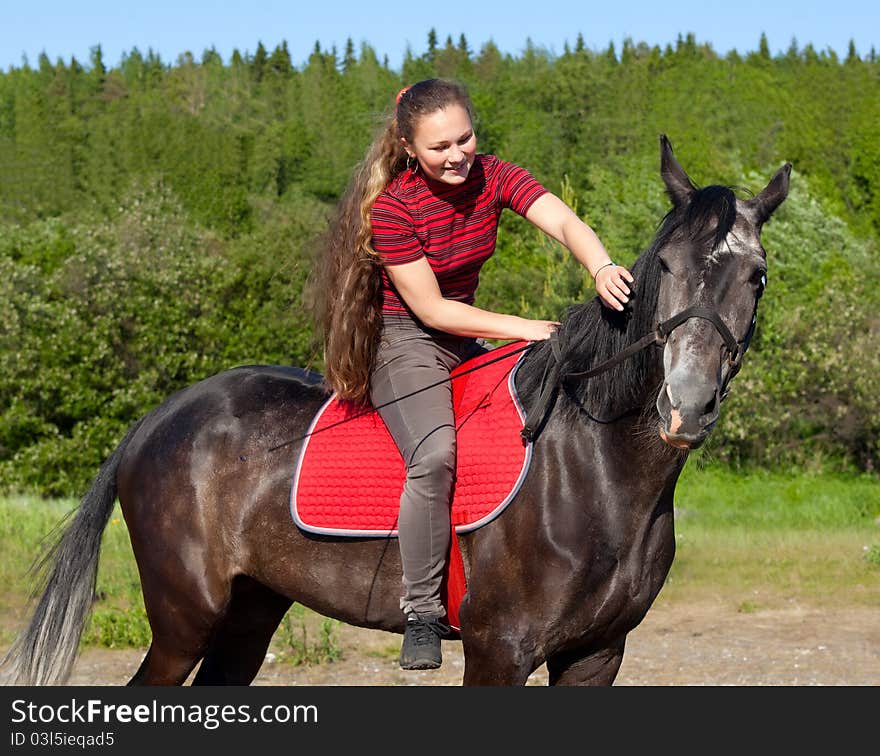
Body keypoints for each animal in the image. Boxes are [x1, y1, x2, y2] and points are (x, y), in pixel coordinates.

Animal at [0, 136, 788, 684]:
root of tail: (157, 422)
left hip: (251, 609)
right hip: (183, 619)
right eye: (666, 267)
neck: (590, 466)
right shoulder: (499, 650)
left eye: (756, 275)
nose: (686, 404)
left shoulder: (598, 654)